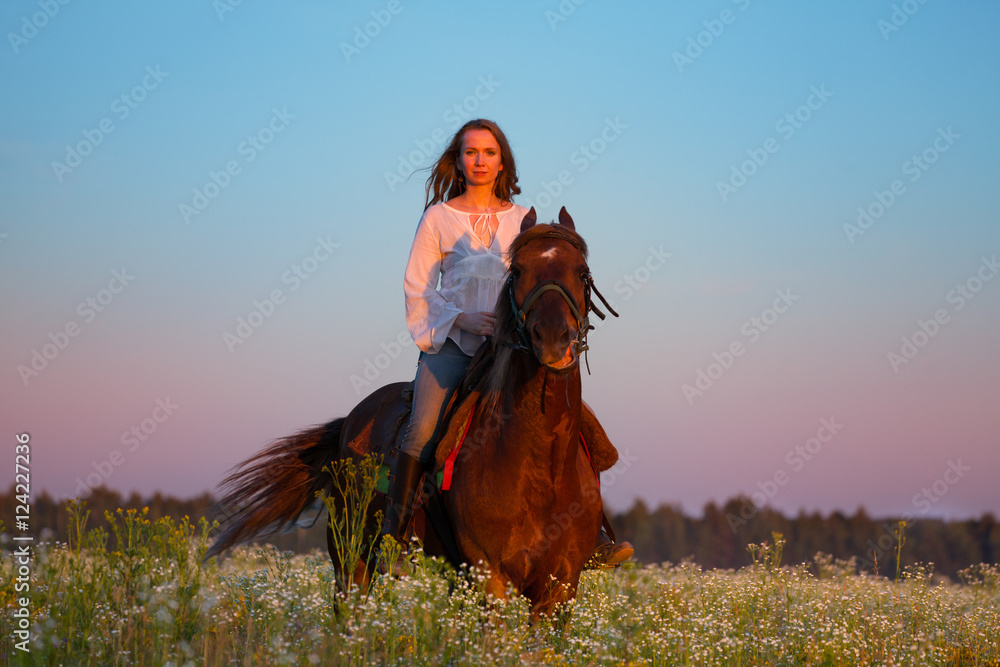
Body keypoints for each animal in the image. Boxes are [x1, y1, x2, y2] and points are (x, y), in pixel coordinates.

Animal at [208, 207, 616, 620]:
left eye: (582, 271)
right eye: (516, 271)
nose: (553, 339)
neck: (541, 461)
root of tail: (349, 423)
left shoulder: (560, 588)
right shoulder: (492, 578)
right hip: (350, 557)